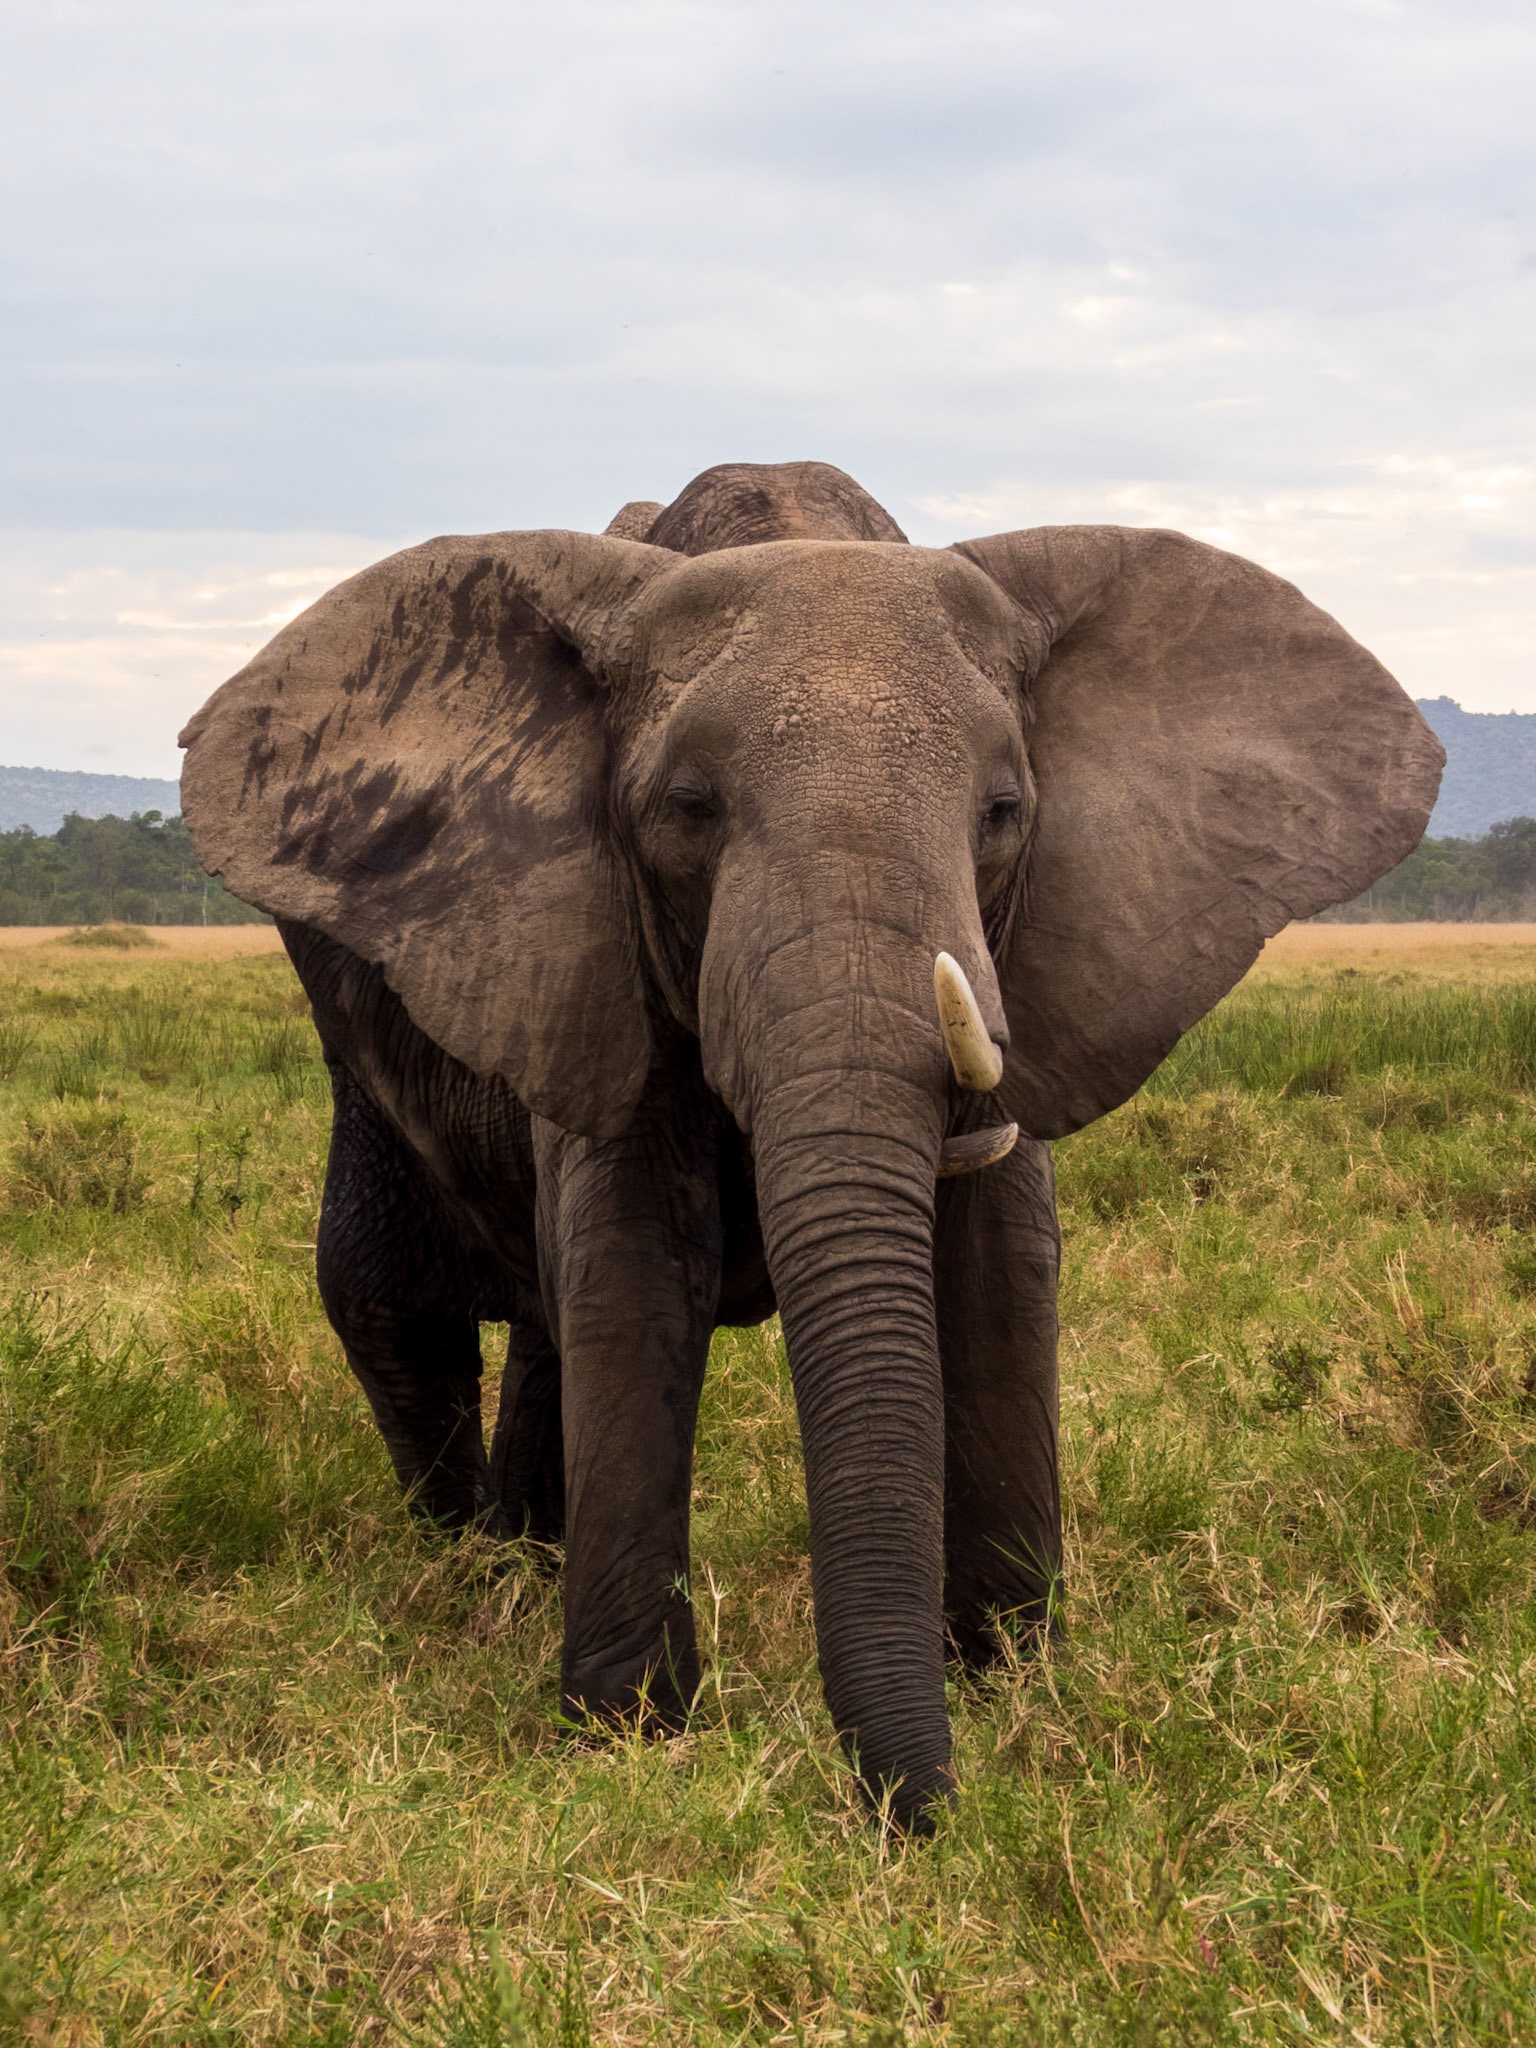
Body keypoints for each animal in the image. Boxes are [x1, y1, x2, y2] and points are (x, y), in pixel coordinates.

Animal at [179, 459, 1442, 1830]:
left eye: (1003, 811)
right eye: (686, 808)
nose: (923, 1819)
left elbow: (1002, 1270)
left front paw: (1016, 1684)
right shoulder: (589, 947)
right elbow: (633, 1271)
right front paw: (623, 1735)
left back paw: (528, 1555)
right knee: (389, 1297)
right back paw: (477, 1582)